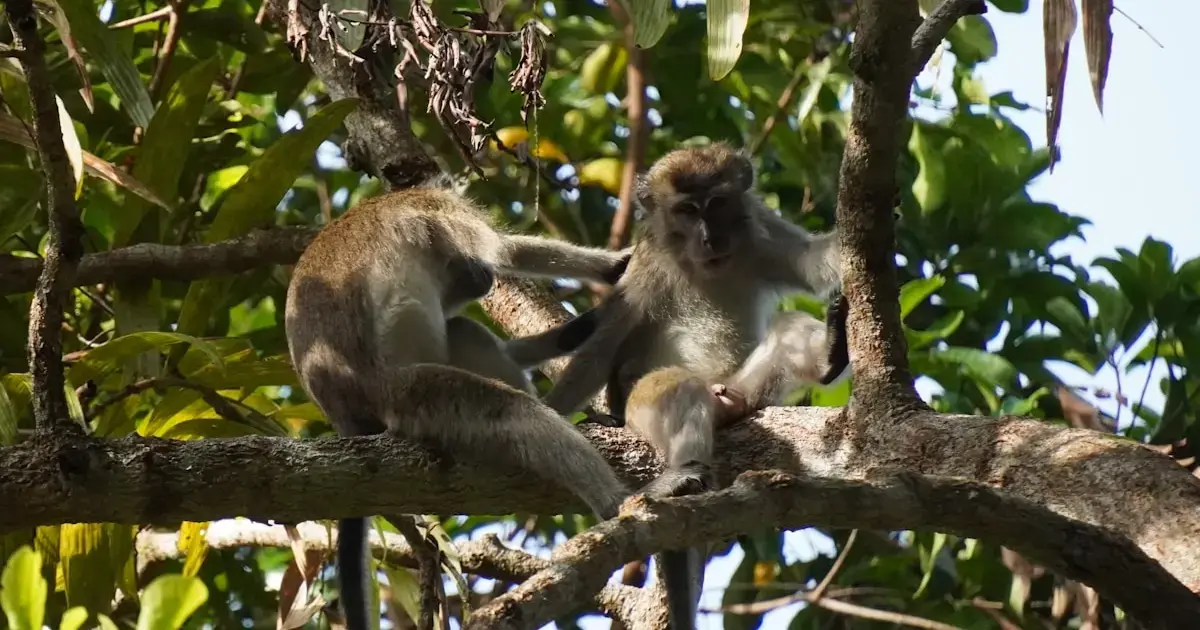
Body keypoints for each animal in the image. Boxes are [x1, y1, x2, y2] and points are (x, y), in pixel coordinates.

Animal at [284, 181, 632, 630]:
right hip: (411, 393)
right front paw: (615, 265)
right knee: (514, 411)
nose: (481, 279)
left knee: (464, 330)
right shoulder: (441, 212)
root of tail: (347, 411)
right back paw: (613, 500)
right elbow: (508, 251)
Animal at [539, 142, 847, 630]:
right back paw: (680, 477)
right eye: (686, 210)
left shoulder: (759, 230)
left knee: (787, 329)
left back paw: (831, 357)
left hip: (745, 388)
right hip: (646, 407)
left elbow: (813, 266)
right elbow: (604, 348)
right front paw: (552, 409)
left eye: (717, 203)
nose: (708, 237)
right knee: (676, 388)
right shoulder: (648, 263)